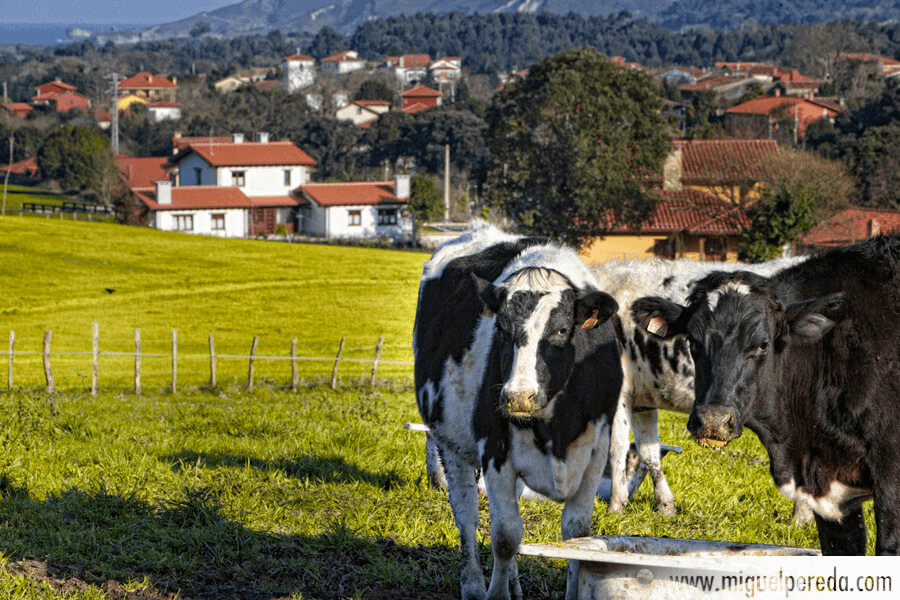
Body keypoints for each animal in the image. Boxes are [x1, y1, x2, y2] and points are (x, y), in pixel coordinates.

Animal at [416, 221, 624, 600]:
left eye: (562, 330)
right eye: (500, 328)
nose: (517, 396)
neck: (555, 432)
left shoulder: (595, 452)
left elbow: (577, 535)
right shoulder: (494, 452)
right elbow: (505, 536)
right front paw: (496, 593)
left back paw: (513, 584)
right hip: (451, 445)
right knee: (467, 516)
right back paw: (473, 585)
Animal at [592, 256, 800, 516]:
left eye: (764, 344)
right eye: (691, 340)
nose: (713, 420)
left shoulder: (618, 393)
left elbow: (616, 448)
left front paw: (615, 505)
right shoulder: (641, 398)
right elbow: (649, 452)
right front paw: (665, 506)